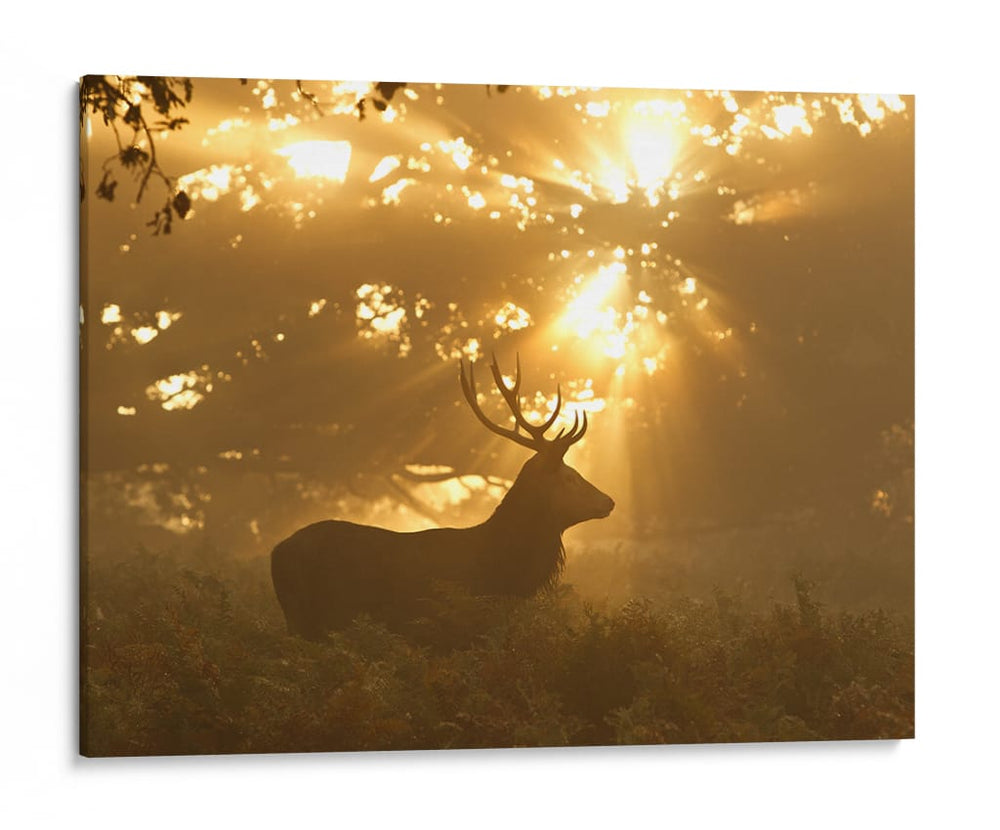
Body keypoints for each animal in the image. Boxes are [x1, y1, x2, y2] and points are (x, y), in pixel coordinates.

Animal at [271, 355, 614, 640]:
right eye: (569, 477)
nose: (608, 500)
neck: (501, 572)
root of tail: (276, 552)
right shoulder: (450, 627)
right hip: (312, 617)